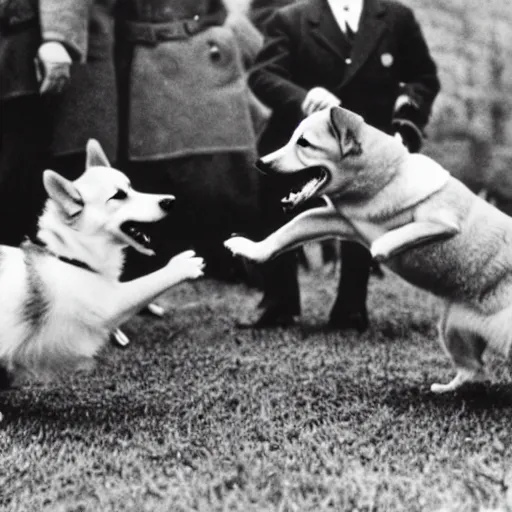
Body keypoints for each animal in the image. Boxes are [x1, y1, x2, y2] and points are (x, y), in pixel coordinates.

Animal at [226, 105, 512, 392]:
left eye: (304, 143)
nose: (261, 163)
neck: (385, 181)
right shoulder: (337, 220)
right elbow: (288, 231)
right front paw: (248, 247)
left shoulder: (442, 222)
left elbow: (393, 236)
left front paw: (381, 249)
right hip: (452, 328)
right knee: (474, 369)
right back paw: (447, 389)